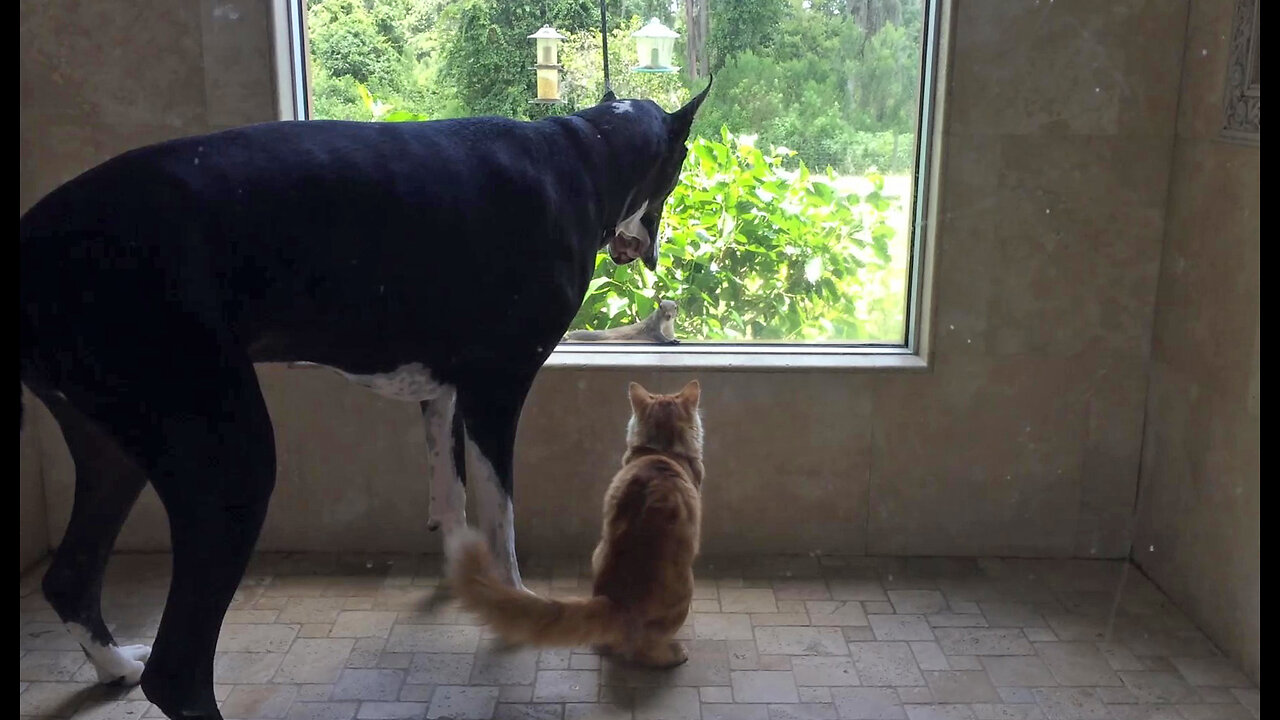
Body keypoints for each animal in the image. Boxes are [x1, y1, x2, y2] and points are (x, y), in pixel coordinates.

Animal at [445, 379, 706, 666]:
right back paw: (673, 654)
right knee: (642, 649)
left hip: (597, 551)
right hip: (686, 586)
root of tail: (615, 602)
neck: (662, 452)